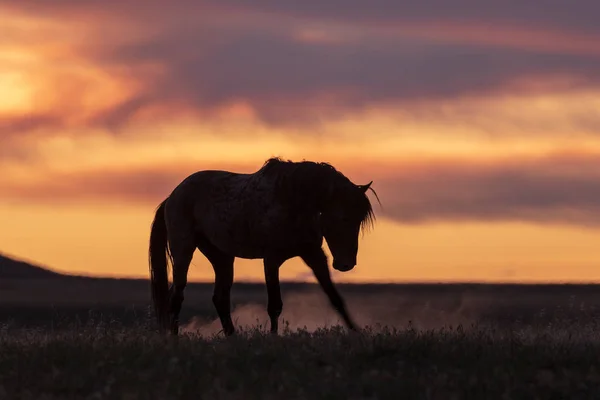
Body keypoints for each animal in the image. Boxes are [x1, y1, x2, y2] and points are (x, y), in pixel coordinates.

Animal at [148, 156, 378, 334]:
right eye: (343, 217)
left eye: (359, 219)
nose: (346, 264)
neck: (292, 201)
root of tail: (172, 197)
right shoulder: (272, 259)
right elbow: (274, 305)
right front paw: (273, 338)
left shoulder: (313, 254)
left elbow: (335, 298)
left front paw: (356, 332)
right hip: (183, 250)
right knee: (176, 297)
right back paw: (175, 340)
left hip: (221, 256)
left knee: (220, 298)